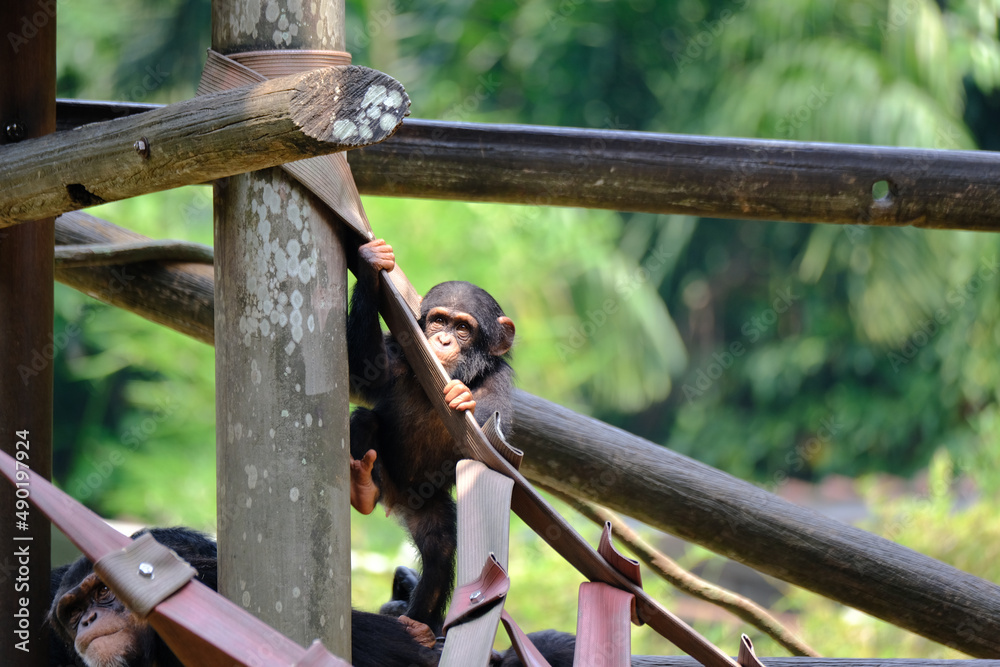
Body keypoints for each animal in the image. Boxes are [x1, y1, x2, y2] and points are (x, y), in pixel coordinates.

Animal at [348, 237, 516, 636]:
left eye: (463, 328)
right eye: (439, 319)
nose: (442, 339)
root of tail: (396, 500)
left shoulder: (499, 381)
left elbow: (495, 439)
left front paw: (463, 397)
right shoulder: (399, 350)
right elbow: (365, 374)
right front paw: (371, 264)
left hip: (429, 504)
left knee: (440, 549)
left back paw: (420, 624)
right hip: (385, 475)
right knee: (364, 421)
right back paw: (362, 489)